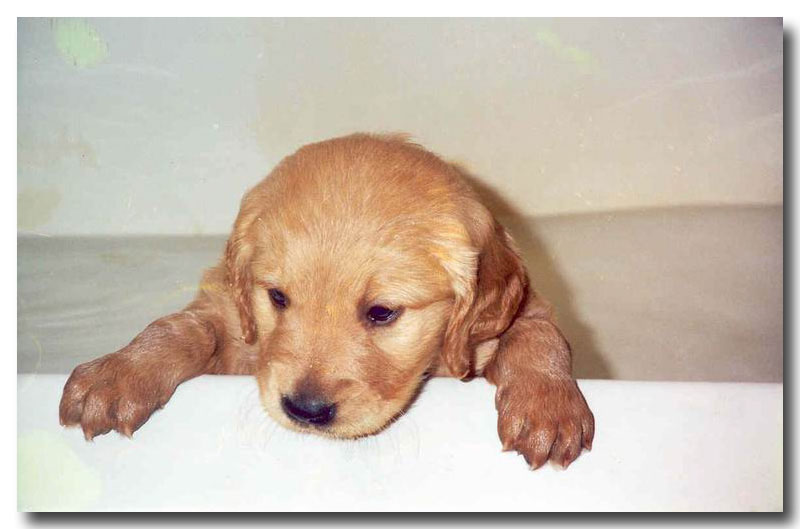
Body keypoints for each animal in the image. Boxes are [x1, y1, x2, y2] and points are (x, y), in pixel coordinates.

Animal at [59, 133, 594, 469]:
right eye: (277, 296)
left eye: (382, 313)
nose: (306, 411)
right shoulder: (229, 315)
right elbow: (180, 327)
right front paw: (119, 373)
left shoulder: (516, 314)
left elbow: (539, 333)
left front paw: (548, 406)